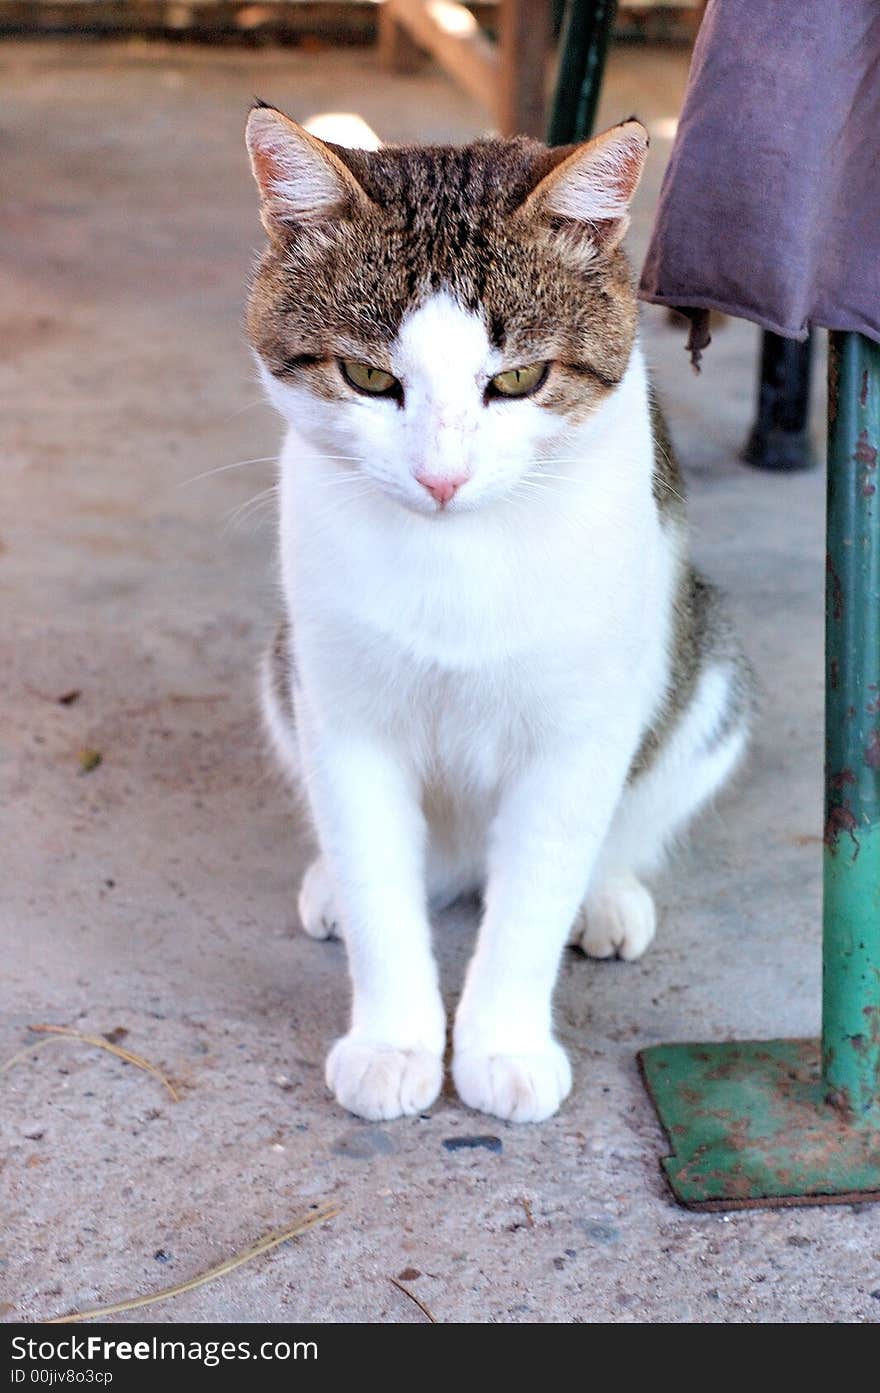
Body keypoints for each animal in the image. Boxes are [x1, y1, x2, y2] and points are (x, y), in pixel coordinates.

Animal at [243, 111, 751, 1131]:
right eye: (367, 375)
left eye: (517, 381)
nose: (442, 477)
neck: (457, 558)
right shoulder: (344, 711)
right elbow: (376, 873)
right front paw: (394, 1041)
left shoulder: (578, 729)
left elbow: (536, 889)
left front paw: (504, 1045)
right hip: (287, 662)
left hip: (703, 665)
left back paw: (608, 894)